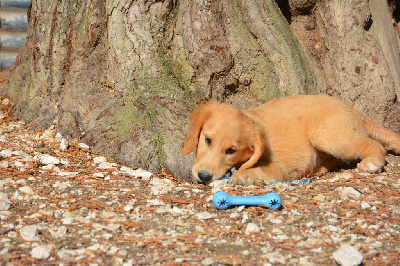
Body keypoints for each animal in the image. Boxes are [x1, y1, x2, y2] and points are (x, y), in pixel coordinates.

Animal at [182, 95, 400, 185]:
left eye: (231, 151)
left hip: (329, 135)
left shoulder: (279, 167)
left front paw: (245, 176)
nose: (204, 176)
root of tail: (356, 112)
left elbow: (261, 169)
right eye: (207, 140)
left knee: (373, 144)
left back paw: (373, 162)